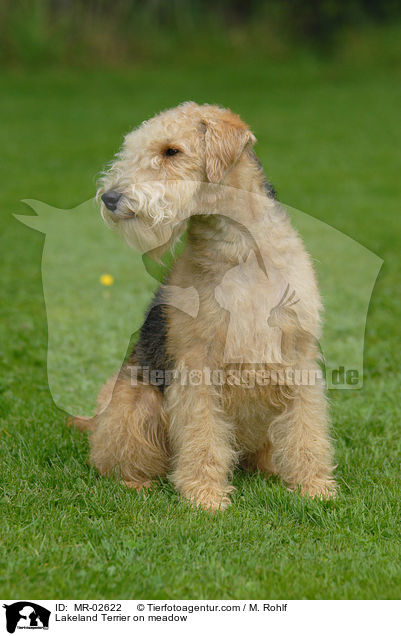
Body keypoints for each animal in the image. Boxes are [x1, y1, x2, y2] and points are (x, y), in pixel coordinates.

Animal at [71, 102, 334, 510]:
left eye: (172, 151)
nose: (110, 199)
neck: (240, 251)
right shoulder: (198, 365)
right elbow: (202, 434)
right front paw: (205, 496)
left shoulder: (298, 356)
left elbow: (307, 430)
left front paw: (315, 487)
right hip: (136, 401)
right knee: (113, 459)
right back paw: (137, 483)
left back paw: (272, 470)